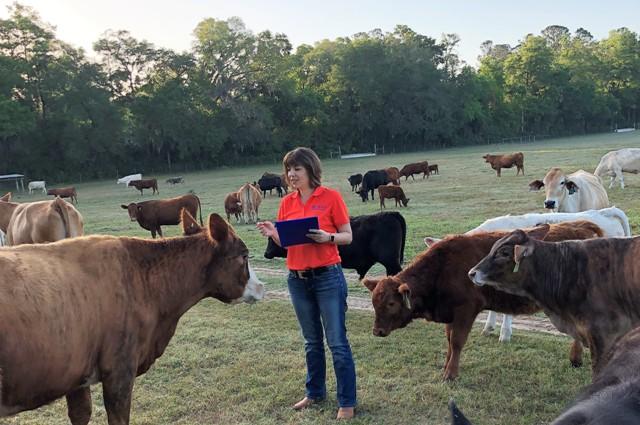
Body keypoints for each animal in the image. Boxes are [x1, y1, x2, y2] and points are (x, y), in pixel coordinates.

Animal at [362, 220, 604, 380]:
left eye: (391, 303)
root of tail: (581, 228)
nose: (377, 331)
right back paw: (576, 359)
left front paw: (451, 374)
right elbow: (449, 340)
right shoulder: (451, 313)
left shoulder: (466, 311)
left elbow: (457, 341)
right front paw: (445, 366)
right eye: (374, 303)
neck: (442, 267)